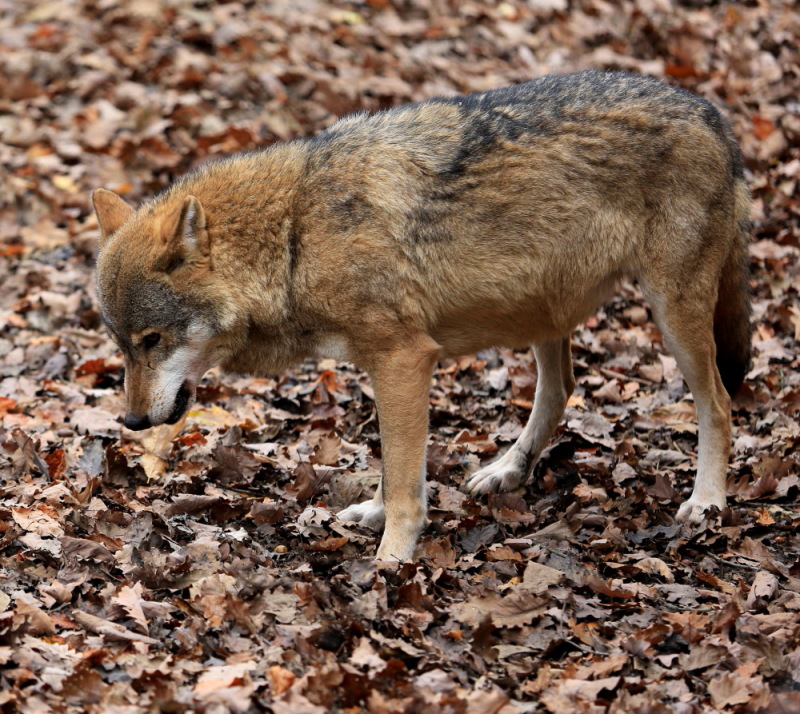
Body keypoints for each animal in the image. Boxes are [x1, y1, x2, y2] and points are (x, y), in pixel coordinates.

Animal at [92, 71, 752, 560]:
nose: (130, 422)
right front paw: (376, 516)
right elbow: (392, 468)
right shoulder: (386, 368)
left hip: (673, 315)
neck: (294, 234)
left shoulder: (404, 359)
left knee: (719, 403)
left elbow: (406, 477)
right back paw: (507, 471)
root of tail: (712, 115)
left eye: (152, 339)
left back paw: (707, 503)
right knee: (562, 386)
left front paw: (392, 560)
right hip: (543, 311)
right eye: (123, 345)